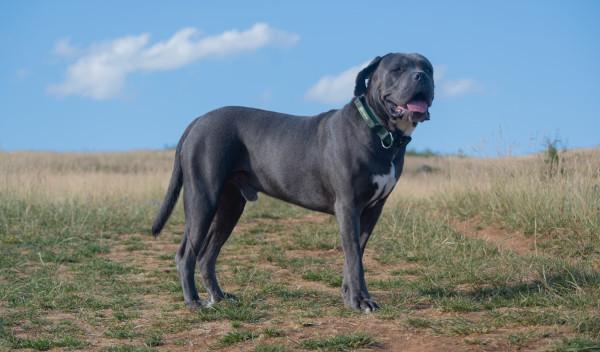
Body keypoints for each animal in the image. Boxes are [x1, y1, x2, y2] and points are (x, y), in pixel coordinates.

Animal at [152, 52, 434, 310]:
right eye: (397, 69)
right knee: (186, 253)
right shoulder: (348, 206)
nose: (421, 77)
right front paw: (359, 301)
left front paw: (349, 296)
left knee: (207, 255)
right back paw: (193, 301)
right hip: (202, 199)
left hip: (230, 206)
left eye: (428, 68)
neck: (378, 130)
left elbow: (355, 254)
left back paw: (220, 297)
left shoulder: (373, 210)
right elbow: (354, 256)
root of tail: (198, 121)